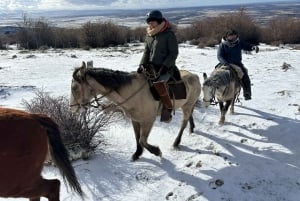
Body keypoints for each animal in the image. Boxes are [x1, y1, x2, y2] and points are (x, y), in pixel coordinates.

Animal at [70, 62, 202, 161]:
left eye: (74, 87)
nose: (72, 108)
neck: (133, 94)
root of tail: (195, 76)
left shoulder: (148, 121)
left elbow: (142, 140)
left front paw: (157, 151)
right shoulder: (135, 120)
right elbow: (137, 137)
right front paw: (137, 154)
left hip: (187, 106)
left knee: (184, 122)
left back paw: (176, 143)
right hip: (187, 105)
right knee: (189, 117)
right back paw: (191, 128)